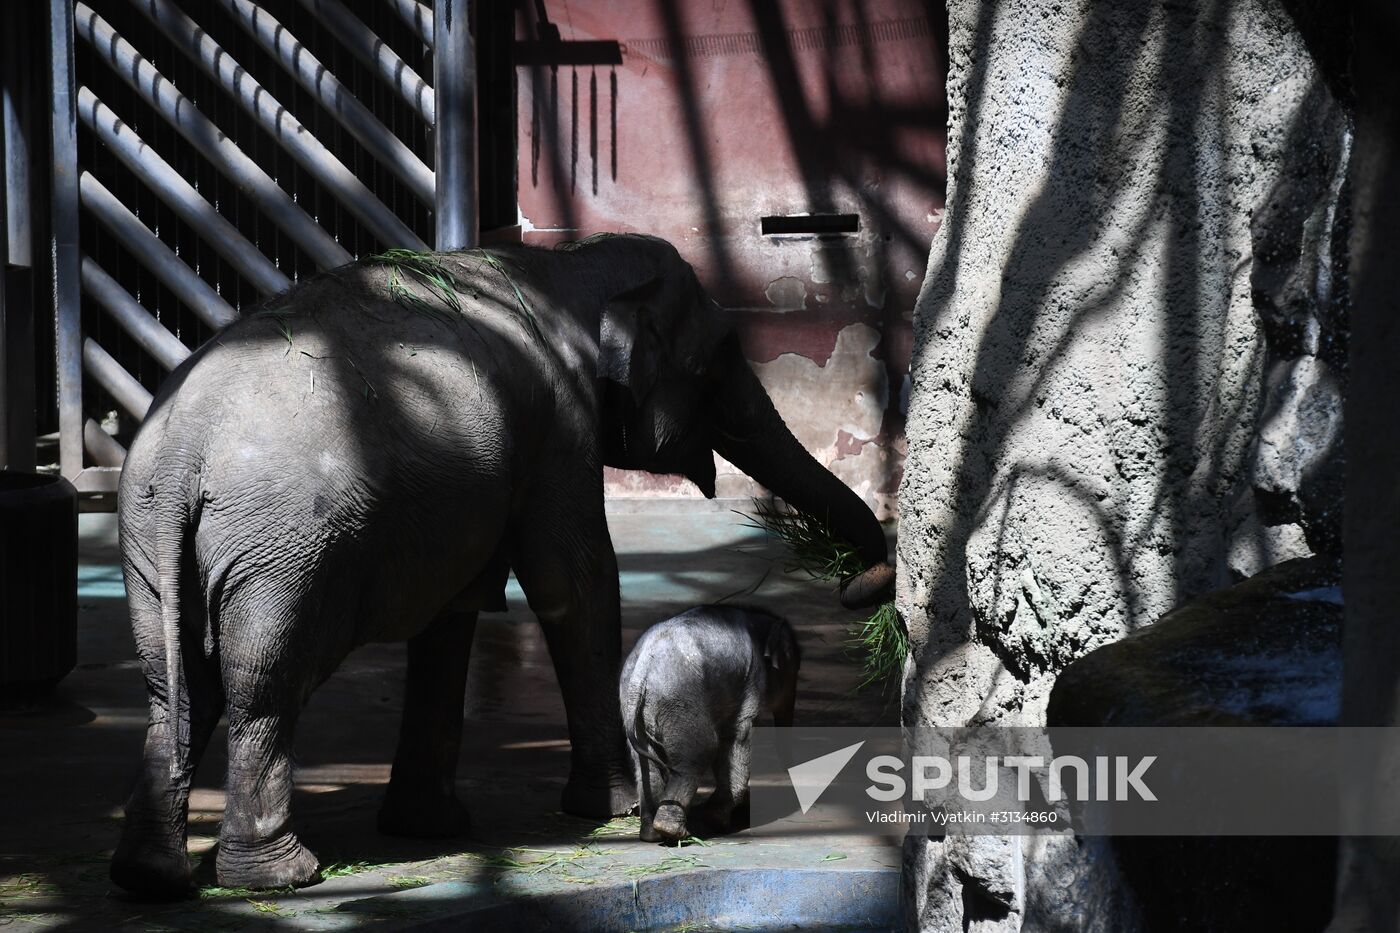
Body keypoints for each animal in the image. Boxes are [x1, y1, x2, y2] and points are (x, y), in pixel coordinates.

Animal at [620, 604, 799, 842]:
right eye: (795, 671)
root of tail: (641, 673)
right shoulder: (750, 683)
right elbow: (737, 737)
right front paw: (718, 821)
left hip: (635, 711)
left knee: (645, 764)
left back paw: (652, 835)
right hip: (680, 700)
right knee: (700, 751)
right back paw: (677, 833)